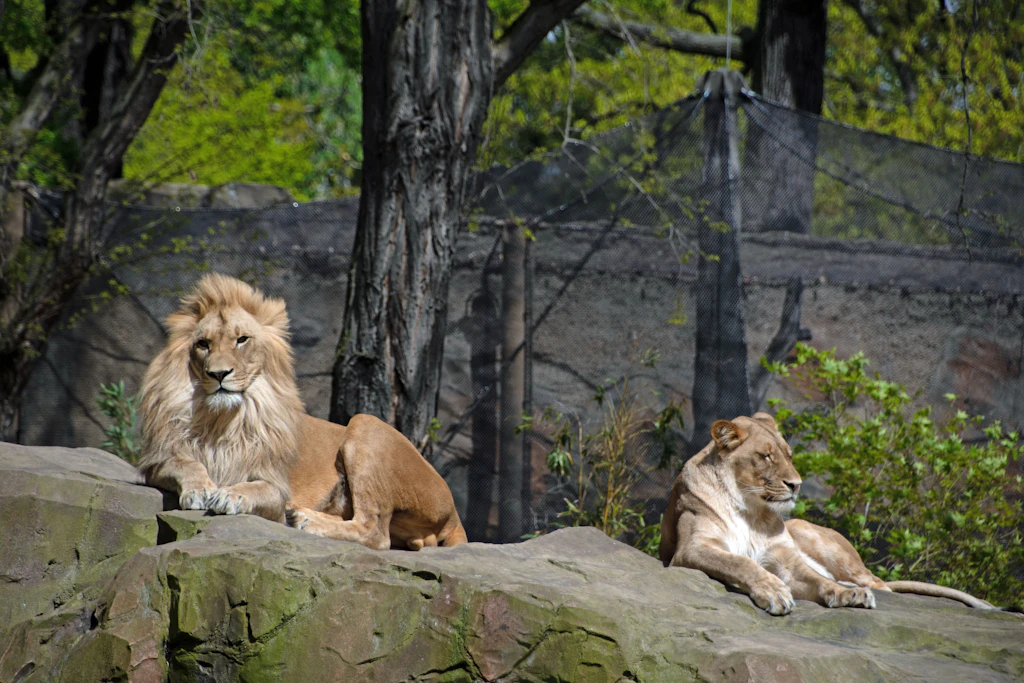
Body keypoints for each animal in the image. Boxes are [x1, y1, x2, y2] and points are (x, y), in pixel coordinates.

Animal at [137, 273, 467, 550]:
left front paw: (232, 494)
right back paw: (301, 515)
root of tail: (454, 512)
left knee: (374, 532)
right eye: (203, 344)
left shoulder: (276, 485)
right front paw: (200, 490)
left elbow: (256, 488)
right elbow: (185, 463)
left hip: (366, 424)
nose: (219, 374)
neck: (222, 420)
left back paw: (305, 520)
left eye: (241, 340)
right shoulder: (156, 462)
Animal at [660, 413, 997, 614]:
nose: (796, 484)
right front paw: (774, 591)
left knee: (879, 582)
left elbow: (816, 579)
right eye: (766, 456)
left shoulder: (785, 560)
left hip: (813, 535)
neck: (749, 509)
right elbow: (740, 562)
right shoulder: (690, 549)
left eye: (789, 455)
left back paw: (858, 588)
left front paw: (847, 596)